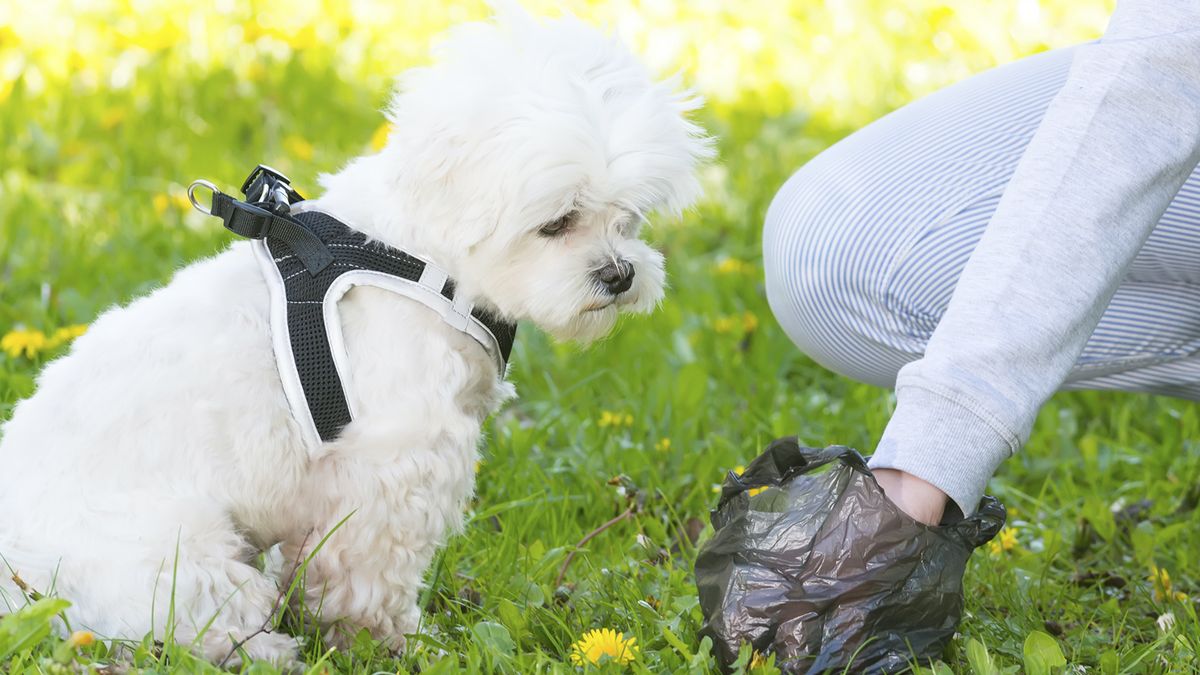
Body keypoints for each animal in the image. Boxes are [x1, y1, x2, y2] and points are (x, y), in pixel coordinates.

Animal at [0, 3, 705, 662]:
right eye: (557, 222)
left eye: (629, 216)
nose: (619, 274)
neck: (422, 257)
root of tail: (17, 574)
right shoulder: (392, 464)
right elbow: (367, 574)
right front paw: (389, 641)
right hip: (178, 556)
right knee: (203, 621)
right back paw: (269, 651)